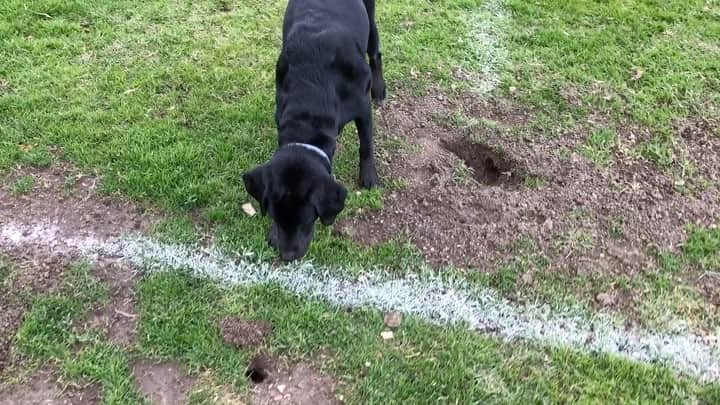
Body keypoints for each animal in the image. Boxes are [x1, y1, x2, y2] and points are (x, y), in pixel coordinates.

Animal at [243, 0, 388, 260]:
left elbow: (366, 145)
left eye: (307, 219)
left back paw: (380, 89)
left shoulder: (362, 108)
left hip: (371, 23)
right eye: (275, 216)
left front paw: (369, 176)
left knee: (375, 53)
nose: (287, 256)